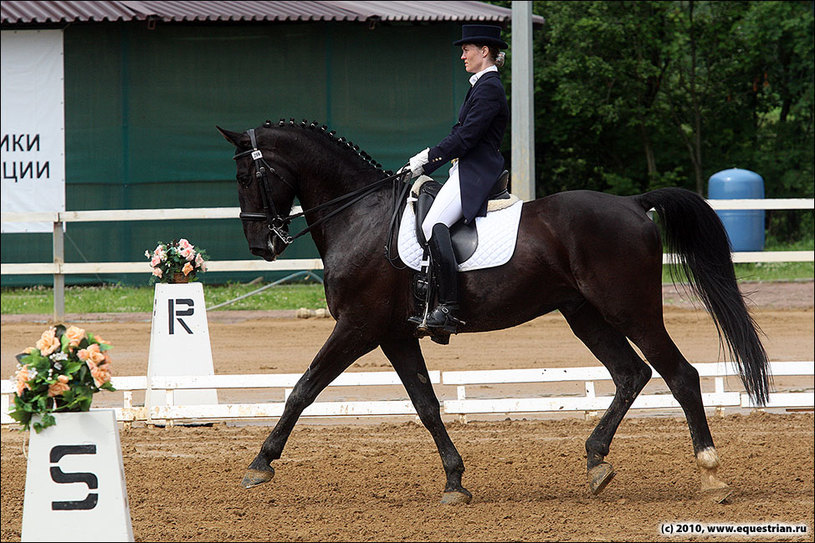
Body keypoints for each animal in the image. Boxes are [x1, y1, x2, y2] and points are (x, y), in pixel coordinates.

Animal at [218, 120, 772, 506]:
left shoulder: (358, 325)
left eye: (246, 175)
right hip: (583, 313)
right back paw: (596, 462)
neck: (360, 217)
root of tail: (634, 203)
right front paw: (454, 482)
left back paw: (711, 475)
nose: (261, 246)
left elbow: (303, 388)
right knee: (630, 373)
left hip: (630, 309)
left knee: (679, 374)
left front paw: (260, 464)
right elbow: (426, 404)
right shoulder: (395, 335)